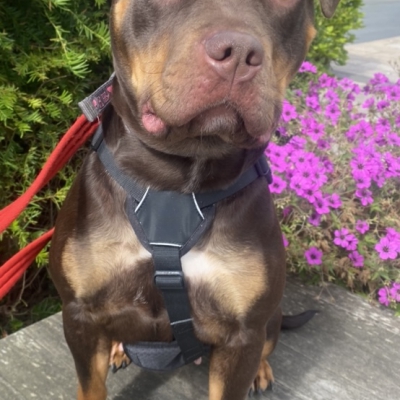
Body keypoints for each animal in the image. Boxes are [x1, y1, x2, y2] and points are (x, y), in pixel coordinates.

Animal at [48, 1, 340, 398]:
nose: (238, 54)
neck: (176, 175)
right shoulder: (80, 315)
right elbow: (90, 385)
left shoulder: (242, 334)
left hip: (271, 317)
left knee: (269, 342)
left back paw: (261, 371)